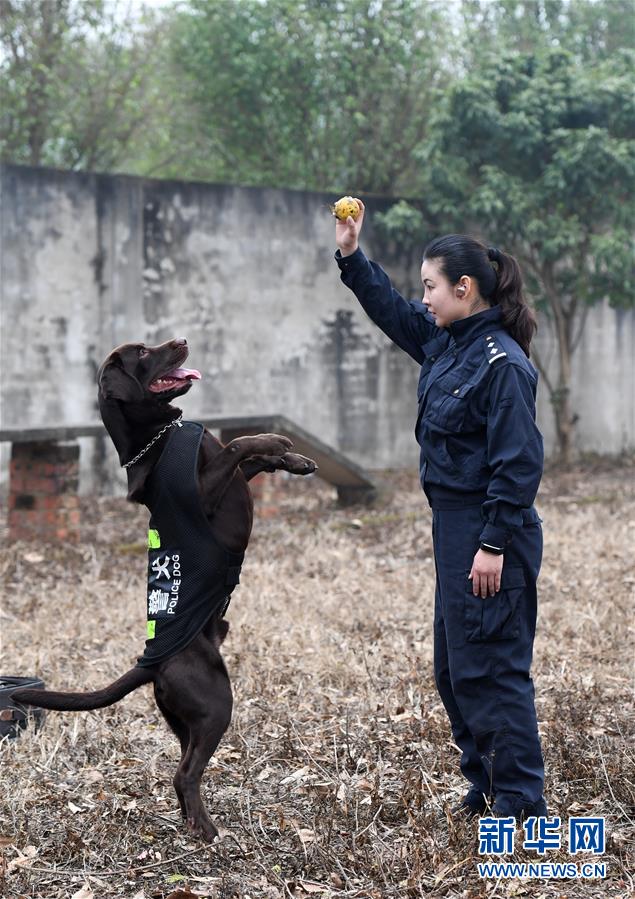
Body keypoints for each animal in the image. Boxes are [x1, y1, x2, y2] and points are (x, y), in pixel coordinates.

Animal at [9, 338, 318, 844]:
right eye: (141, 352)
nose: (181, 340)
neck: (156, 437)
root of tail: (150, 664)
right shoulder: (207, 491)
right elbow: (239, 444)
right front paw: (277, 441)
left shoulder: (230, 474)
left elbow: (248, 458)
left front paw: (294, 459)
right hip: (215, 704)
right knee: (185, 772)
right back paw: (207, 831)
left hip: (186, 721)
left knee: (182, 769)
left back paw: (190, 822)